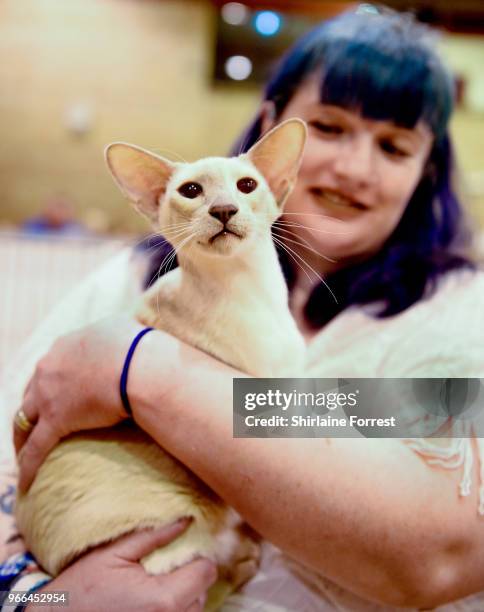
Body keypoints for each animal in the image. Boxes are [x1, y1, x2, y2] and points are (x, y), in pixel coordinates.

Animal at [17, 118, 308, 604]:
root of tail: (43, 559)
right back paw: (243, 559)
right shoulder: (267, 387)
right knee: (214, 572)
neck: (253, 293)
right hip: (184, 533)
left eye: (246, 185)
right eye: (192, 191)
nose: (224, 209)